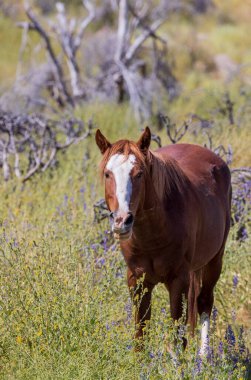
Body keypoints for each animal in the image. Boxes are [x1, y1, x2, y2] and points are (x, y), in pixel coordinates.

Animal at [94, 127, 231, 354]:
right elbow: (141, 335)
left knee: (204, 302)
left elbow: (177, 336)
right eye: (107, 174)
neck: (153, 235)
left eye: (139, 174)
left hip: (214, 261)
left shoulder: (179, 281)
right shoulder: (137, 281)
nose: (122, 221)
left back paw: (204, 357)